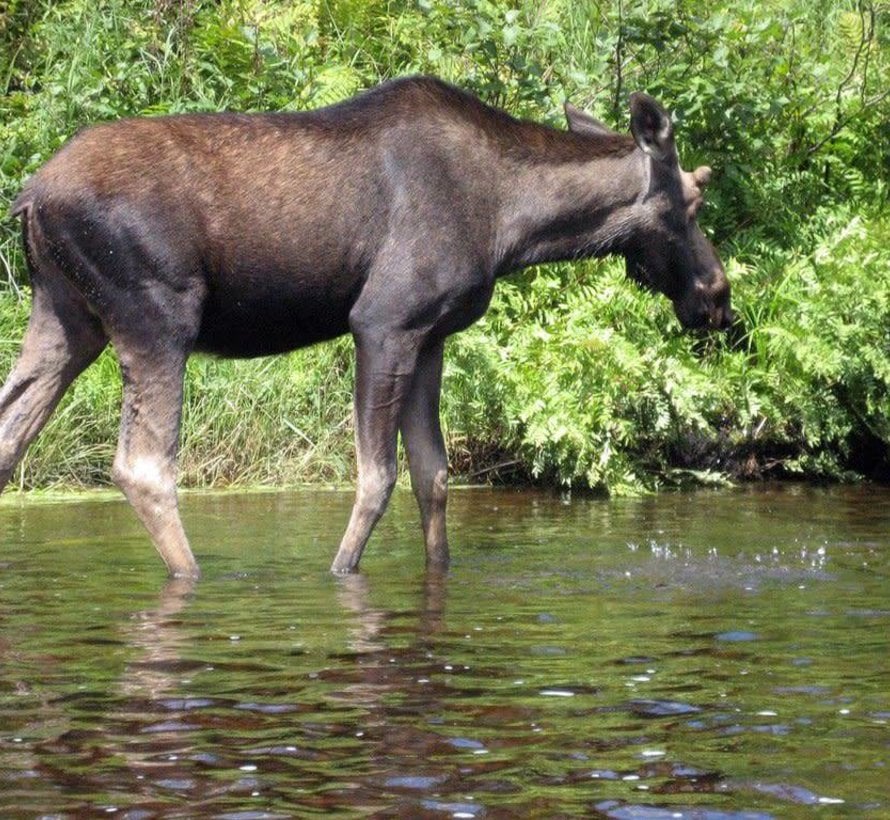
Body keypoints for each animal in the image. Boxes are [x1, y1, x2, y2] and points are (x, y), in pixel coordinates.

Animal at [3, 75, 728, 576]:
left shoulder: (432, 335)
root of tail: (31, 196)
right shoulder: (385, 320)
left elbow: (434, 476)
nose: (717, 296)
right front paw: (340, 573)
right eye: (693, 200)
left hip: (67, 319)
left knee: (12, 436)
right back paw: (193, 575)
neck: (515, 225)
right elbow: (377, 478)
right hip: (156, 316)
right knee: (143, 466)